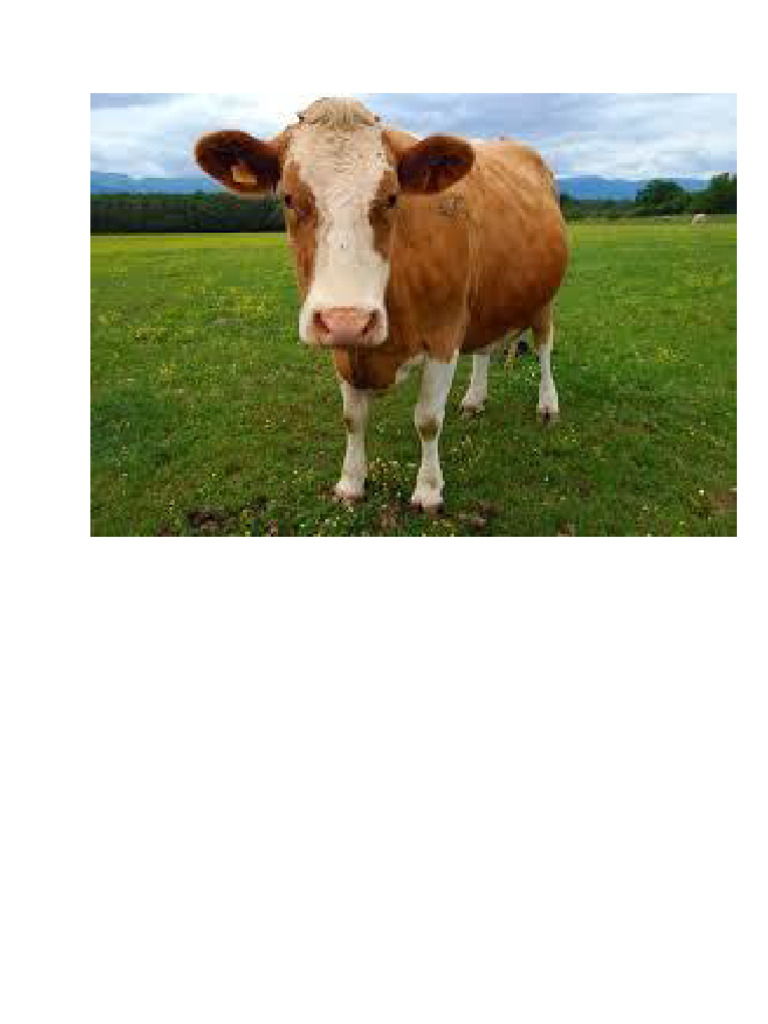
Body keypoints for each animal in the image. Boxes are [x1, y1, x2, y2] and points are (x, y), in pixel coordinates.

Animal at [194, 98, 569, 512]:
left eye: (392, 197)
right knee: (484, 349)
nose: (348, 320)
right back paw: (474, 400)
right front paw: (350, 483)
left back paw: (548, 406)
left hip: (544, 299)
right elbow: (352, 418)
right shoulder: (345, 348)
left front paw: (428, 490)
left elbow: (427, 420)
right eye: (288, 198)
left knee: (544, 347)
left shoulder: (444, 334)